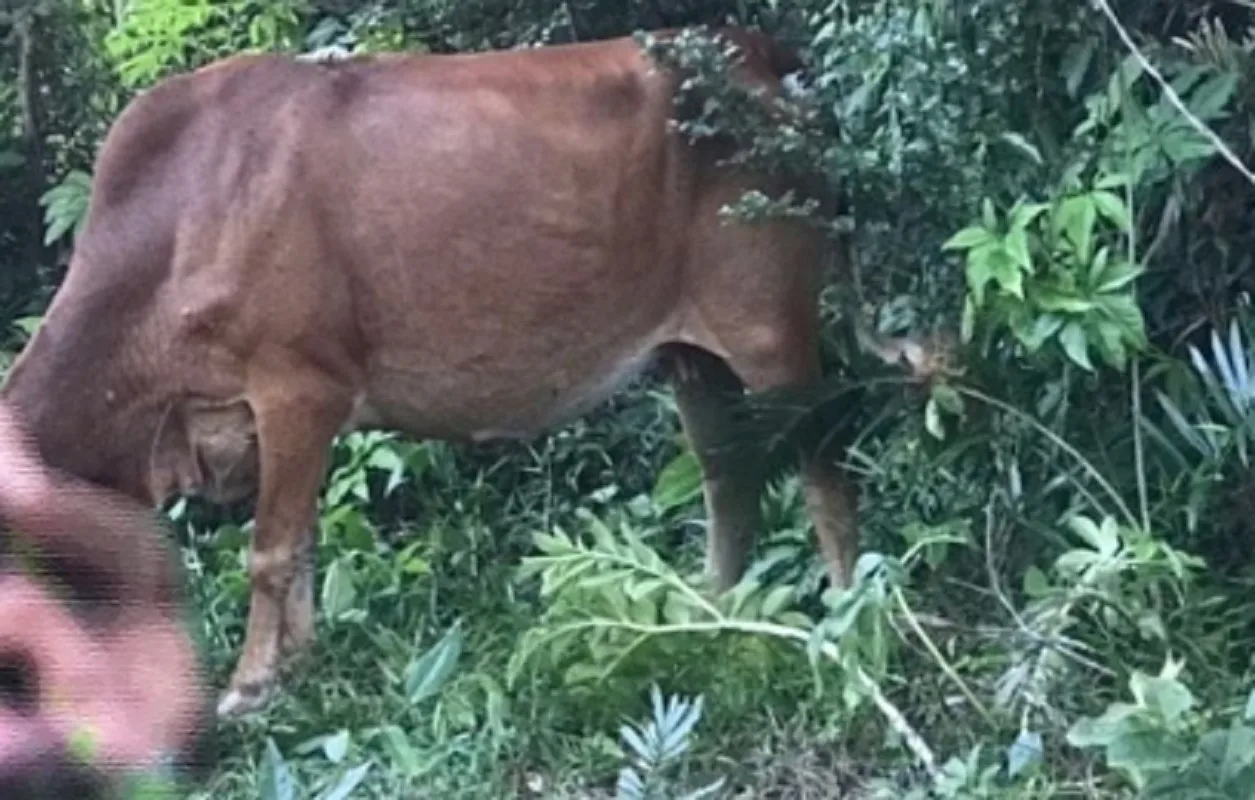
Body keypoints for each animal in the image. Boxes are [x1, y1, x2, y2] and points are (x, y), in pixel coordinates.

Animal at [7, 24, 873, 713]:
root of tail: (763, 54)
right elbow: (303, 540)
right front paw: (300, 660)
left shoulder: (298, 387)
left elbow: (271, 551)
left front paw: (249, 687)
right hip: (690, 353)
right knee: (727, 473)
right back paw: (711, 611)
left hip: (770, 326)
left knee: (823, 468)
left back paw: (848, 617)